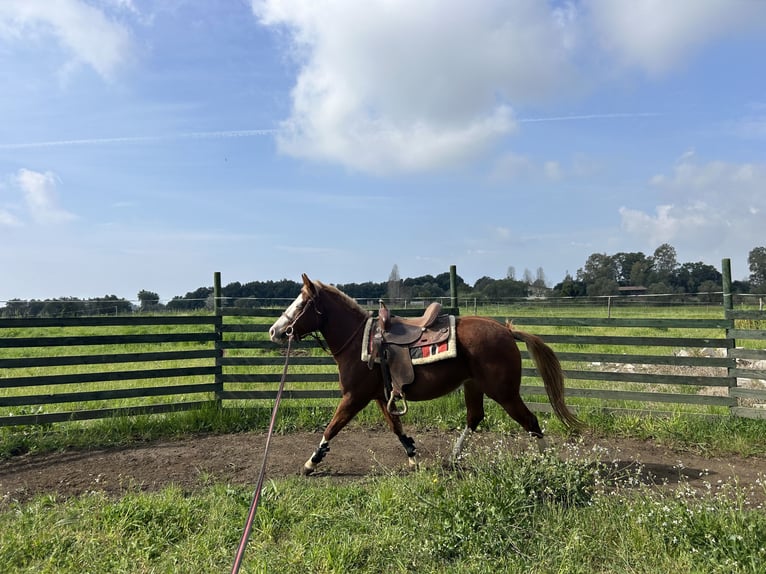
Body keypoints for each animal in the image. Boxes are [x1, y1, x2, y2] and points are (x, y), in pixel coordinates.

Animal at [269, 274, 582, 475]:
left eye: (300, 304)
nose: (274, 331)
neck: (360, 341)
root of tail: (505, 330)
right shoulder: (380, 397)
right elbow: (396, 427)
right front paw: (412, 457)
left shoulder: (354, 397)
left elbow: (332, 427)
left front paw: (311, 462)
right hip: (474, 386)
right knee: (475, 418)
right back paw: (453, 459)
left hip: (504, 392)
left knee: (530, 421)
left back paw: (547, 460)